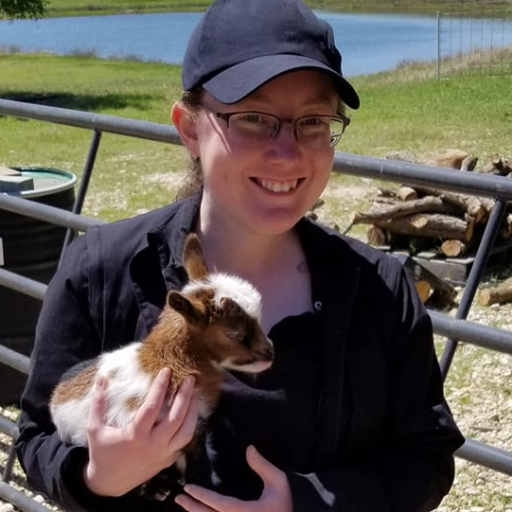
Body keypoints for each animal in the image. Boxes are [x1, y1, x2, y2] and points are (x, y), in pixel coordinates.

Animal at [49, 235, 274, 500]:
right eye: (235, 334)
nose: (270, 353)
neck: (171, 362)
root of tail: (56, 397)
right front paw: (204, 488)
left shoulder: (197, 429)